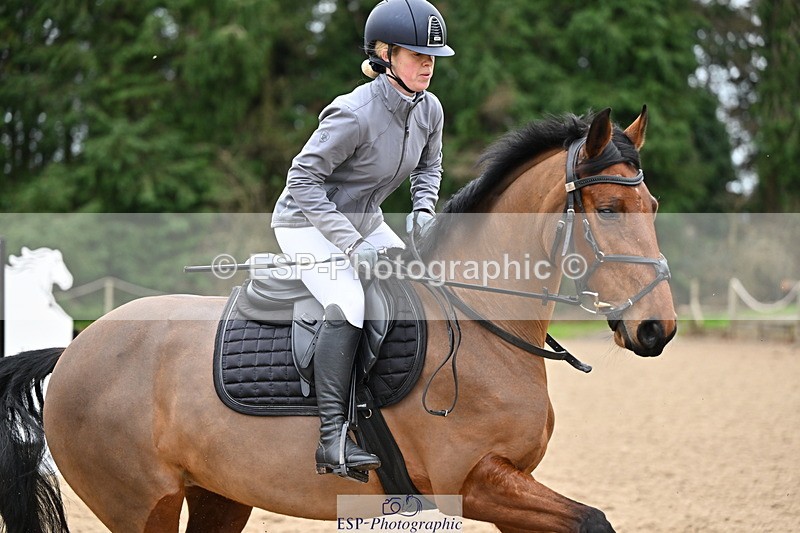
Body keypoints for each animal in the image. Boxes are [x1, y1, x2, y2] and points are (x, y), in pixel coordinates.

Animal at [0, 107, 676, 533]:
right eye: (609, 210)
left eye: (652, 205)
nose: (657, 328)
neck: (486, 323)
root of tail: (75, 349)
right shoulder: (475, 482)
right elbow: (594, 521)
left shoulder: (512, 487)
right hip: (144, 507)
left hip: (219, 496)